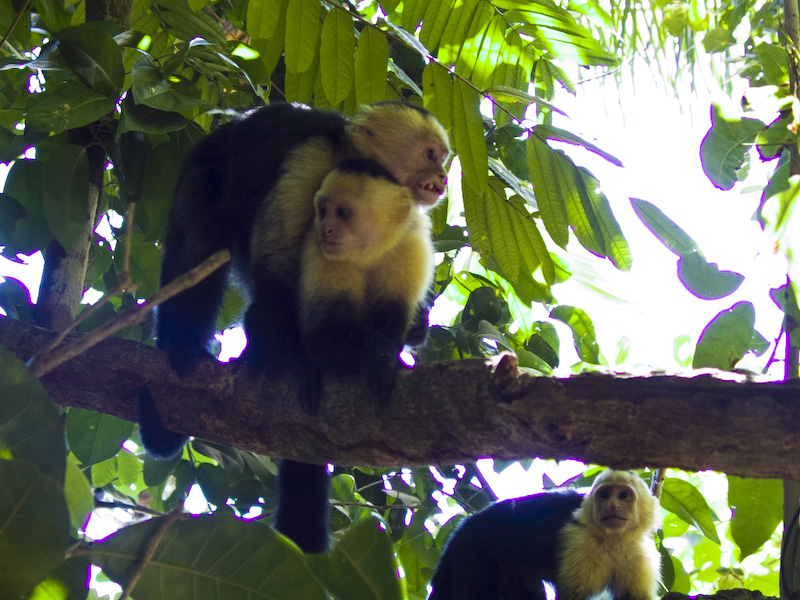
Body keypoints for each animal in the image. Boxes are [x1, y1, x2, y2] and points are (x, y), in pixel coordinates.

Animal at [428, 468, 660, 600]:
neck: (612, 538)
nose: (612, 506)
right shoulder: (579, 540)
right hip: (470, 557)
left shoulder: (639, 552)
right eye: (604, 495)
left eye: (623, 496)